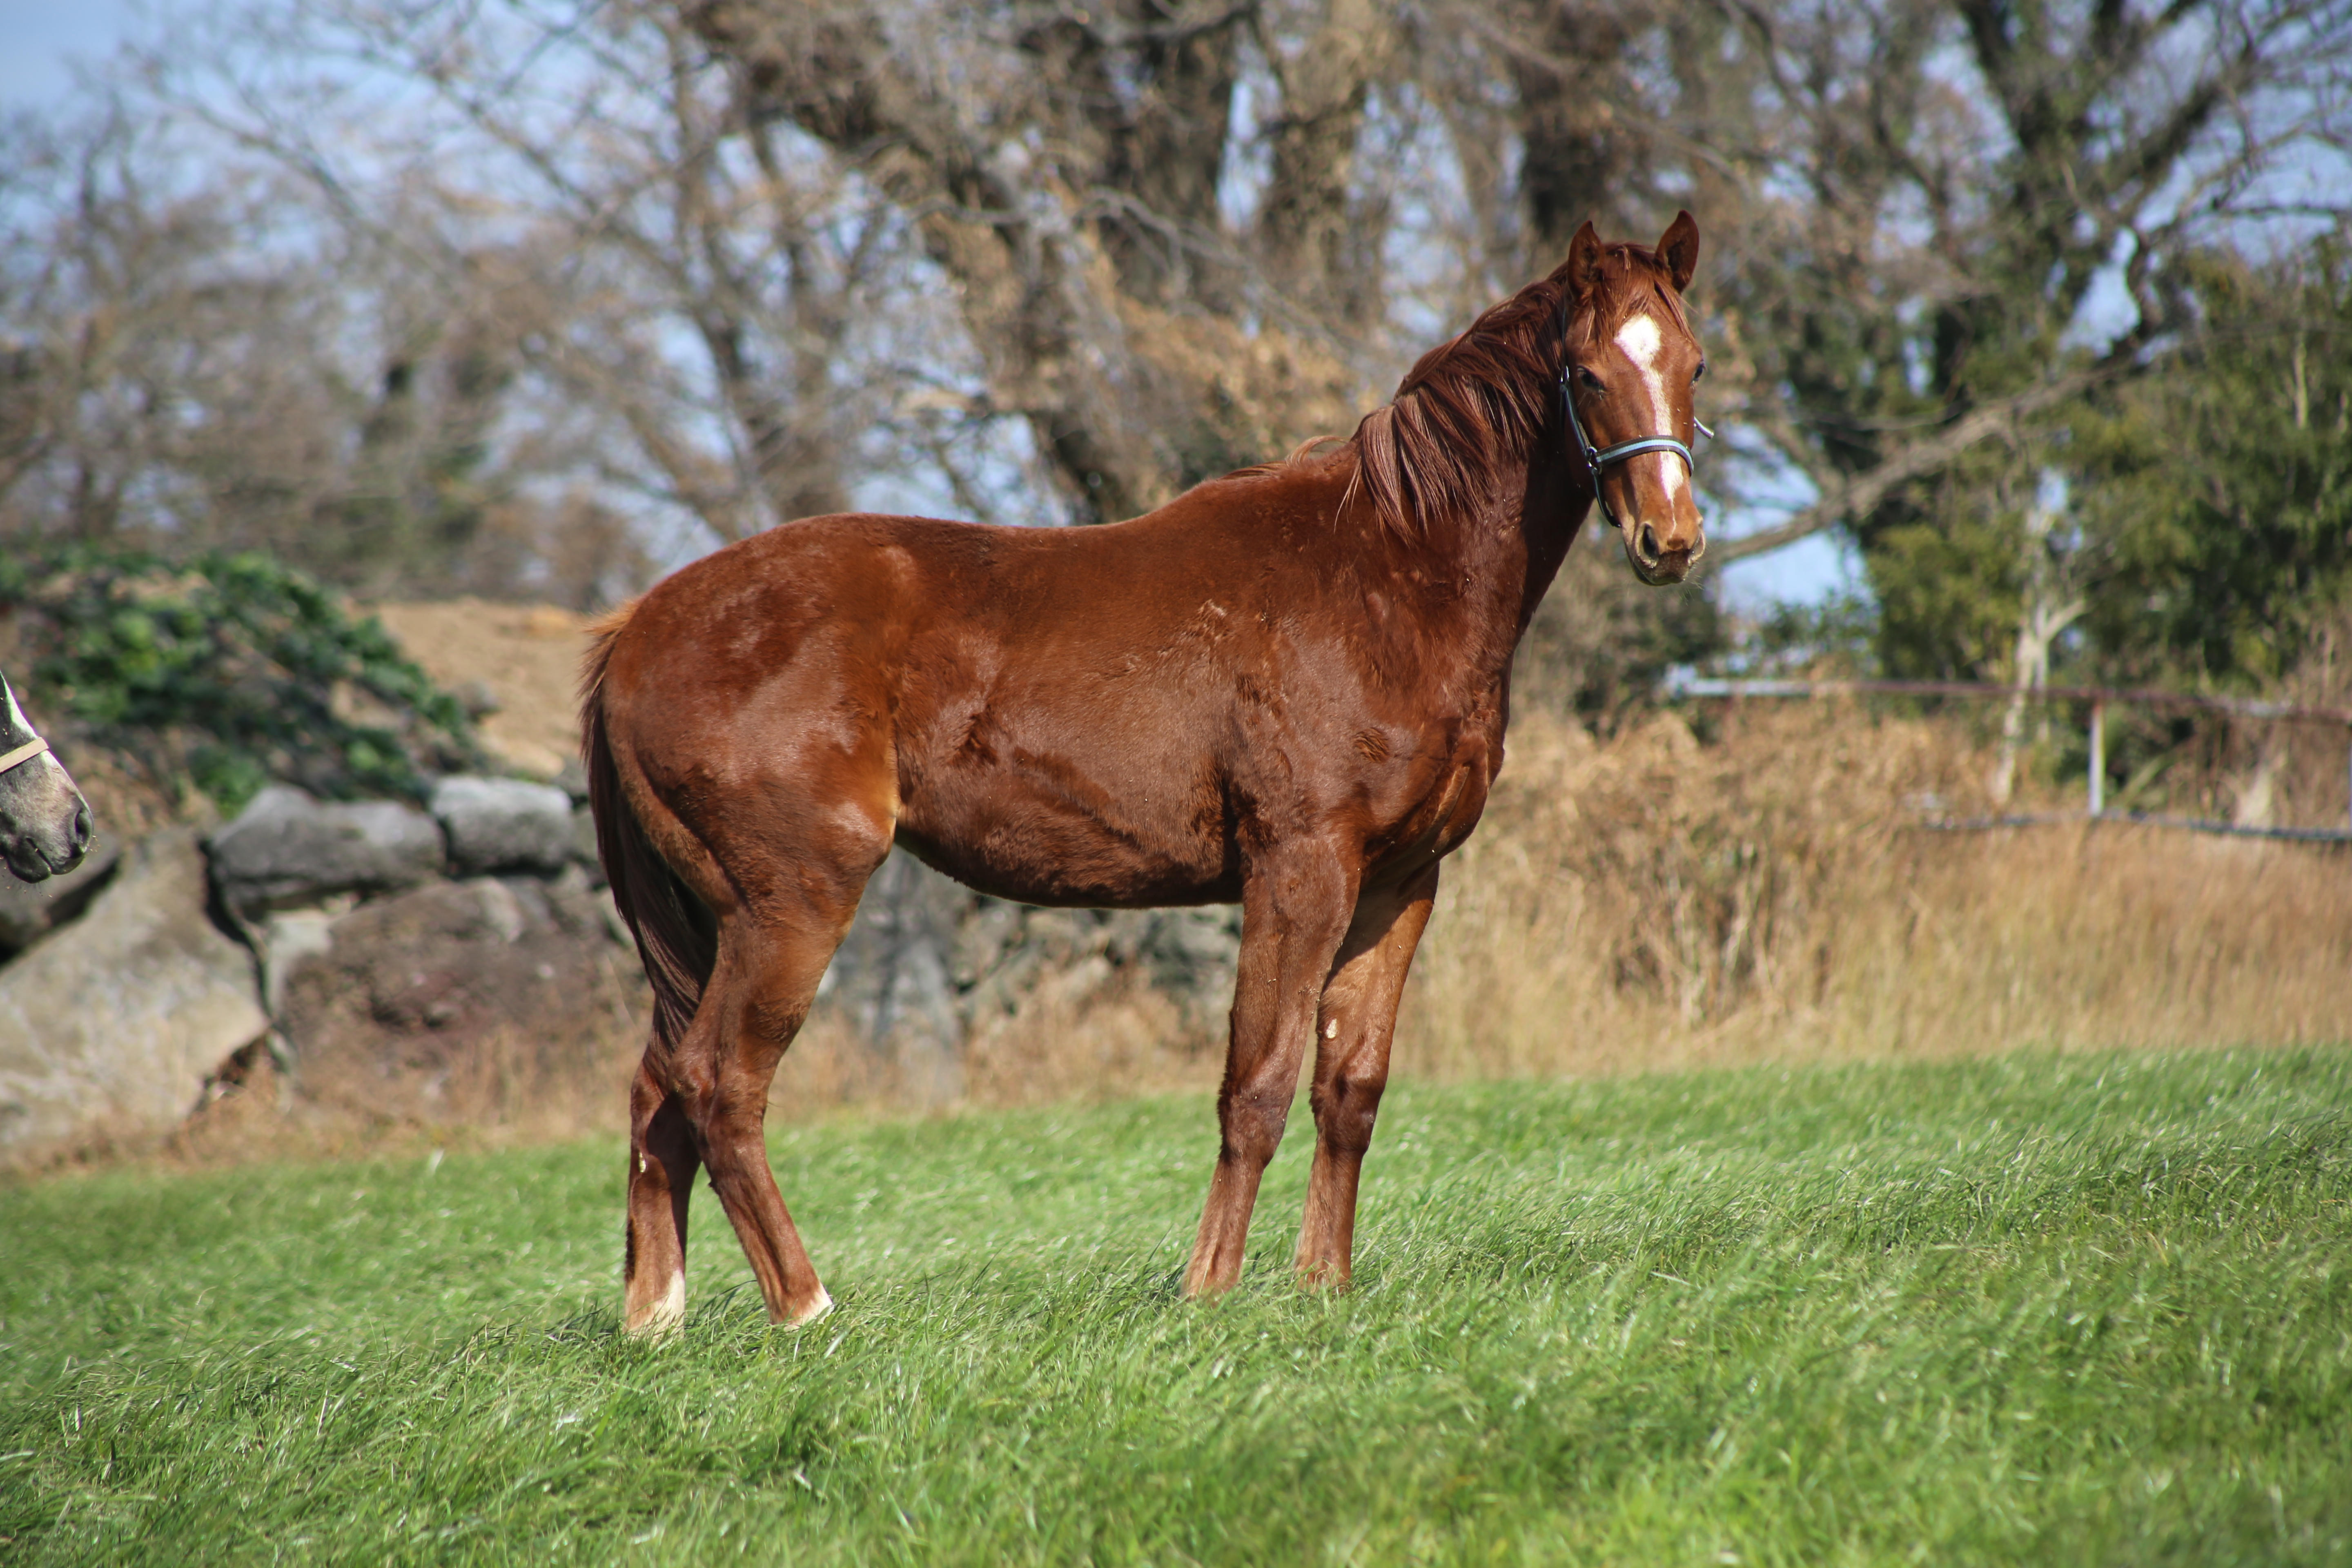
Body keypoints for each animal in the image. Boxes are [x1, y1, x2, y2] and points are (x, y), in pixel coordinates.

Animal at [576, 212, 1703, 1335]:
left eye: (1692, 363)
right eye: (1588, 373)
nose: (1674, 540)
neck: (1384, 575)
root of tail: (637, 630)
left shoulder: (1399, 882)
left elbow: (1349, 1088)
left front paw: (1322, 1289)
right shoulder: (1299, 871)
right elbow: (1255, 1087)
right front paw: (1211, 1290)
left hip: (708, 922)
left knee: (657, 1091)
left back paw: (657, 1322)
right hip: (790, 906)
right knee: (719, 1084)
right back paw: (807, 1310)